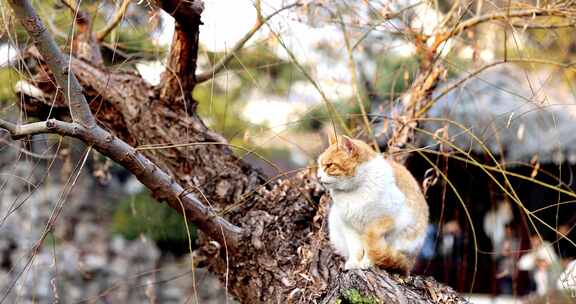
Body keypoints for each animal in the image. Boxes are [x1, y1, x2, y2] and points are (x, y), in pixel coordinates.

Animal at [318, 134, 430, 272]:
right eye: (319, 165)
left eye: (329, 165)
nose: (318, 177)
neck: (354, 192)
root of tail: (411, 262)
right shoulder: (349, 226)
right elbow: (355, 248)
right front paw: (354, 262)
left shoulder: (387, 222)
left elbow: (372, 249)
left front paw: (367, 262)